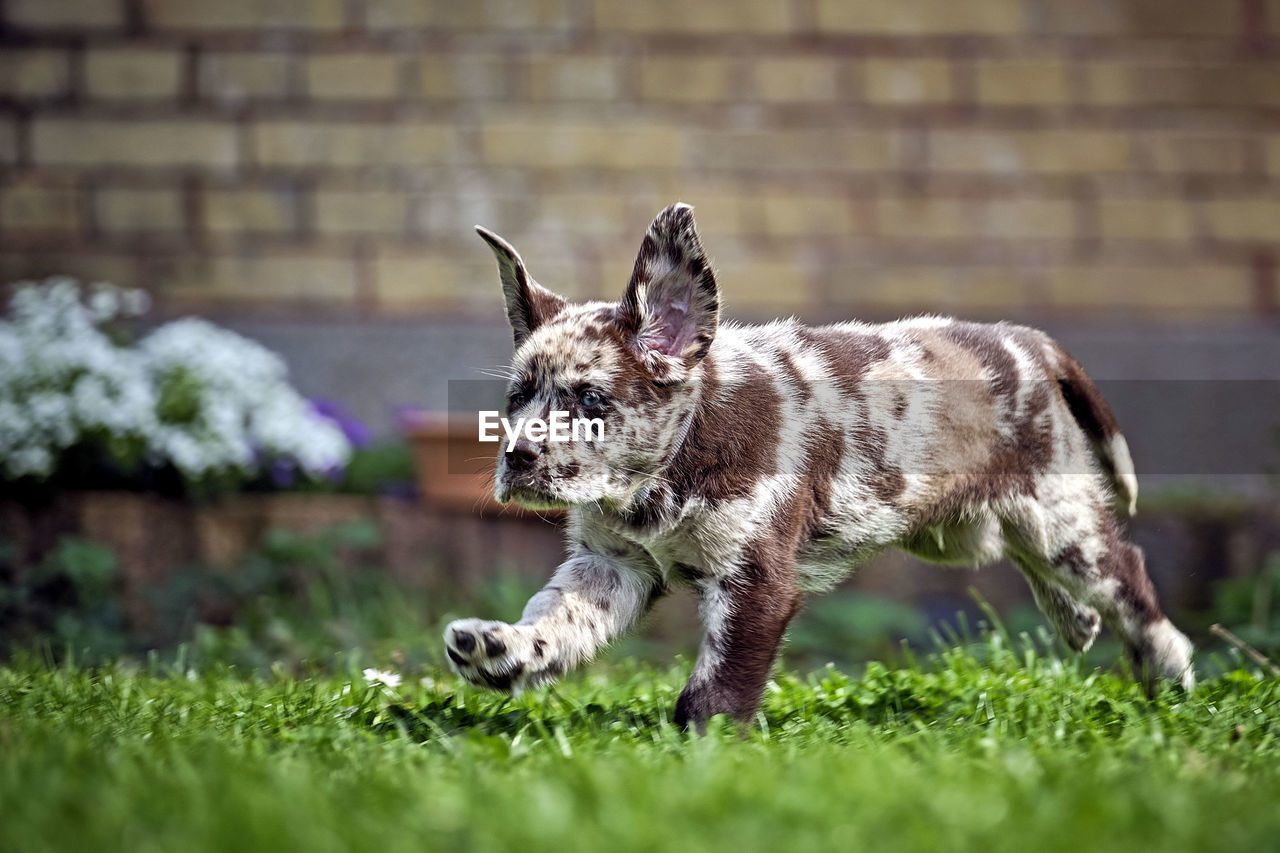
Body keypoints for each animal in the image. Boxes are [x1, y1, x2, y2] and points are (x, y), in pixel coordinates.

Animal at [445, 202, 1192, 727]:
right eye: (516, 399)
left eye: (592, 399)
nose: (516, 457)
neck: (667, 473)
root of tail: (1029, 341)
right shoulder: (610, 565)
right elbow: (556, 622)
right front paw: (502, 650)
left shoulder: (755, 580)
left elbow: (717, 688)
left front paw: (699, 753)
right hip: (966, 531)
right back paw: (1077, 622)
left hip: (1055, 518)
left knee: (1126, 575)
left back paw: (1167, 670)